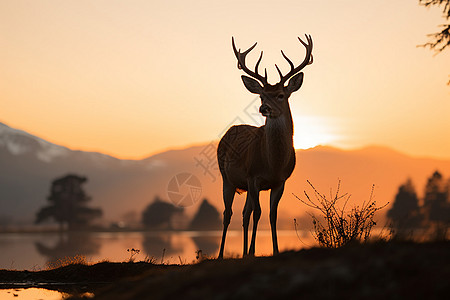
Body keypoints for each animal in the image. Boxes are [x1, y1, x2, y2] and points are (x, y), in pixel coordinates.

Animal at [218, 35, 312, 258]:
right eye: (261, 95)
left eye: (280, 95)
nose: (264, 108)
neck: (273, 164)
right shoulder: (254, 177)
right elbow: (258, 213)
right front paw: (253, 251)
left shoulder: (280, 181)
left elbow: (272, 214)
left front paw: (275, 250)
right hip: (227, 178)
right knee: (228, 213)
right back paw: (221, 254)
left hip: (243, 184)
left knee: (244, 213)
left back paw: (243, 253)